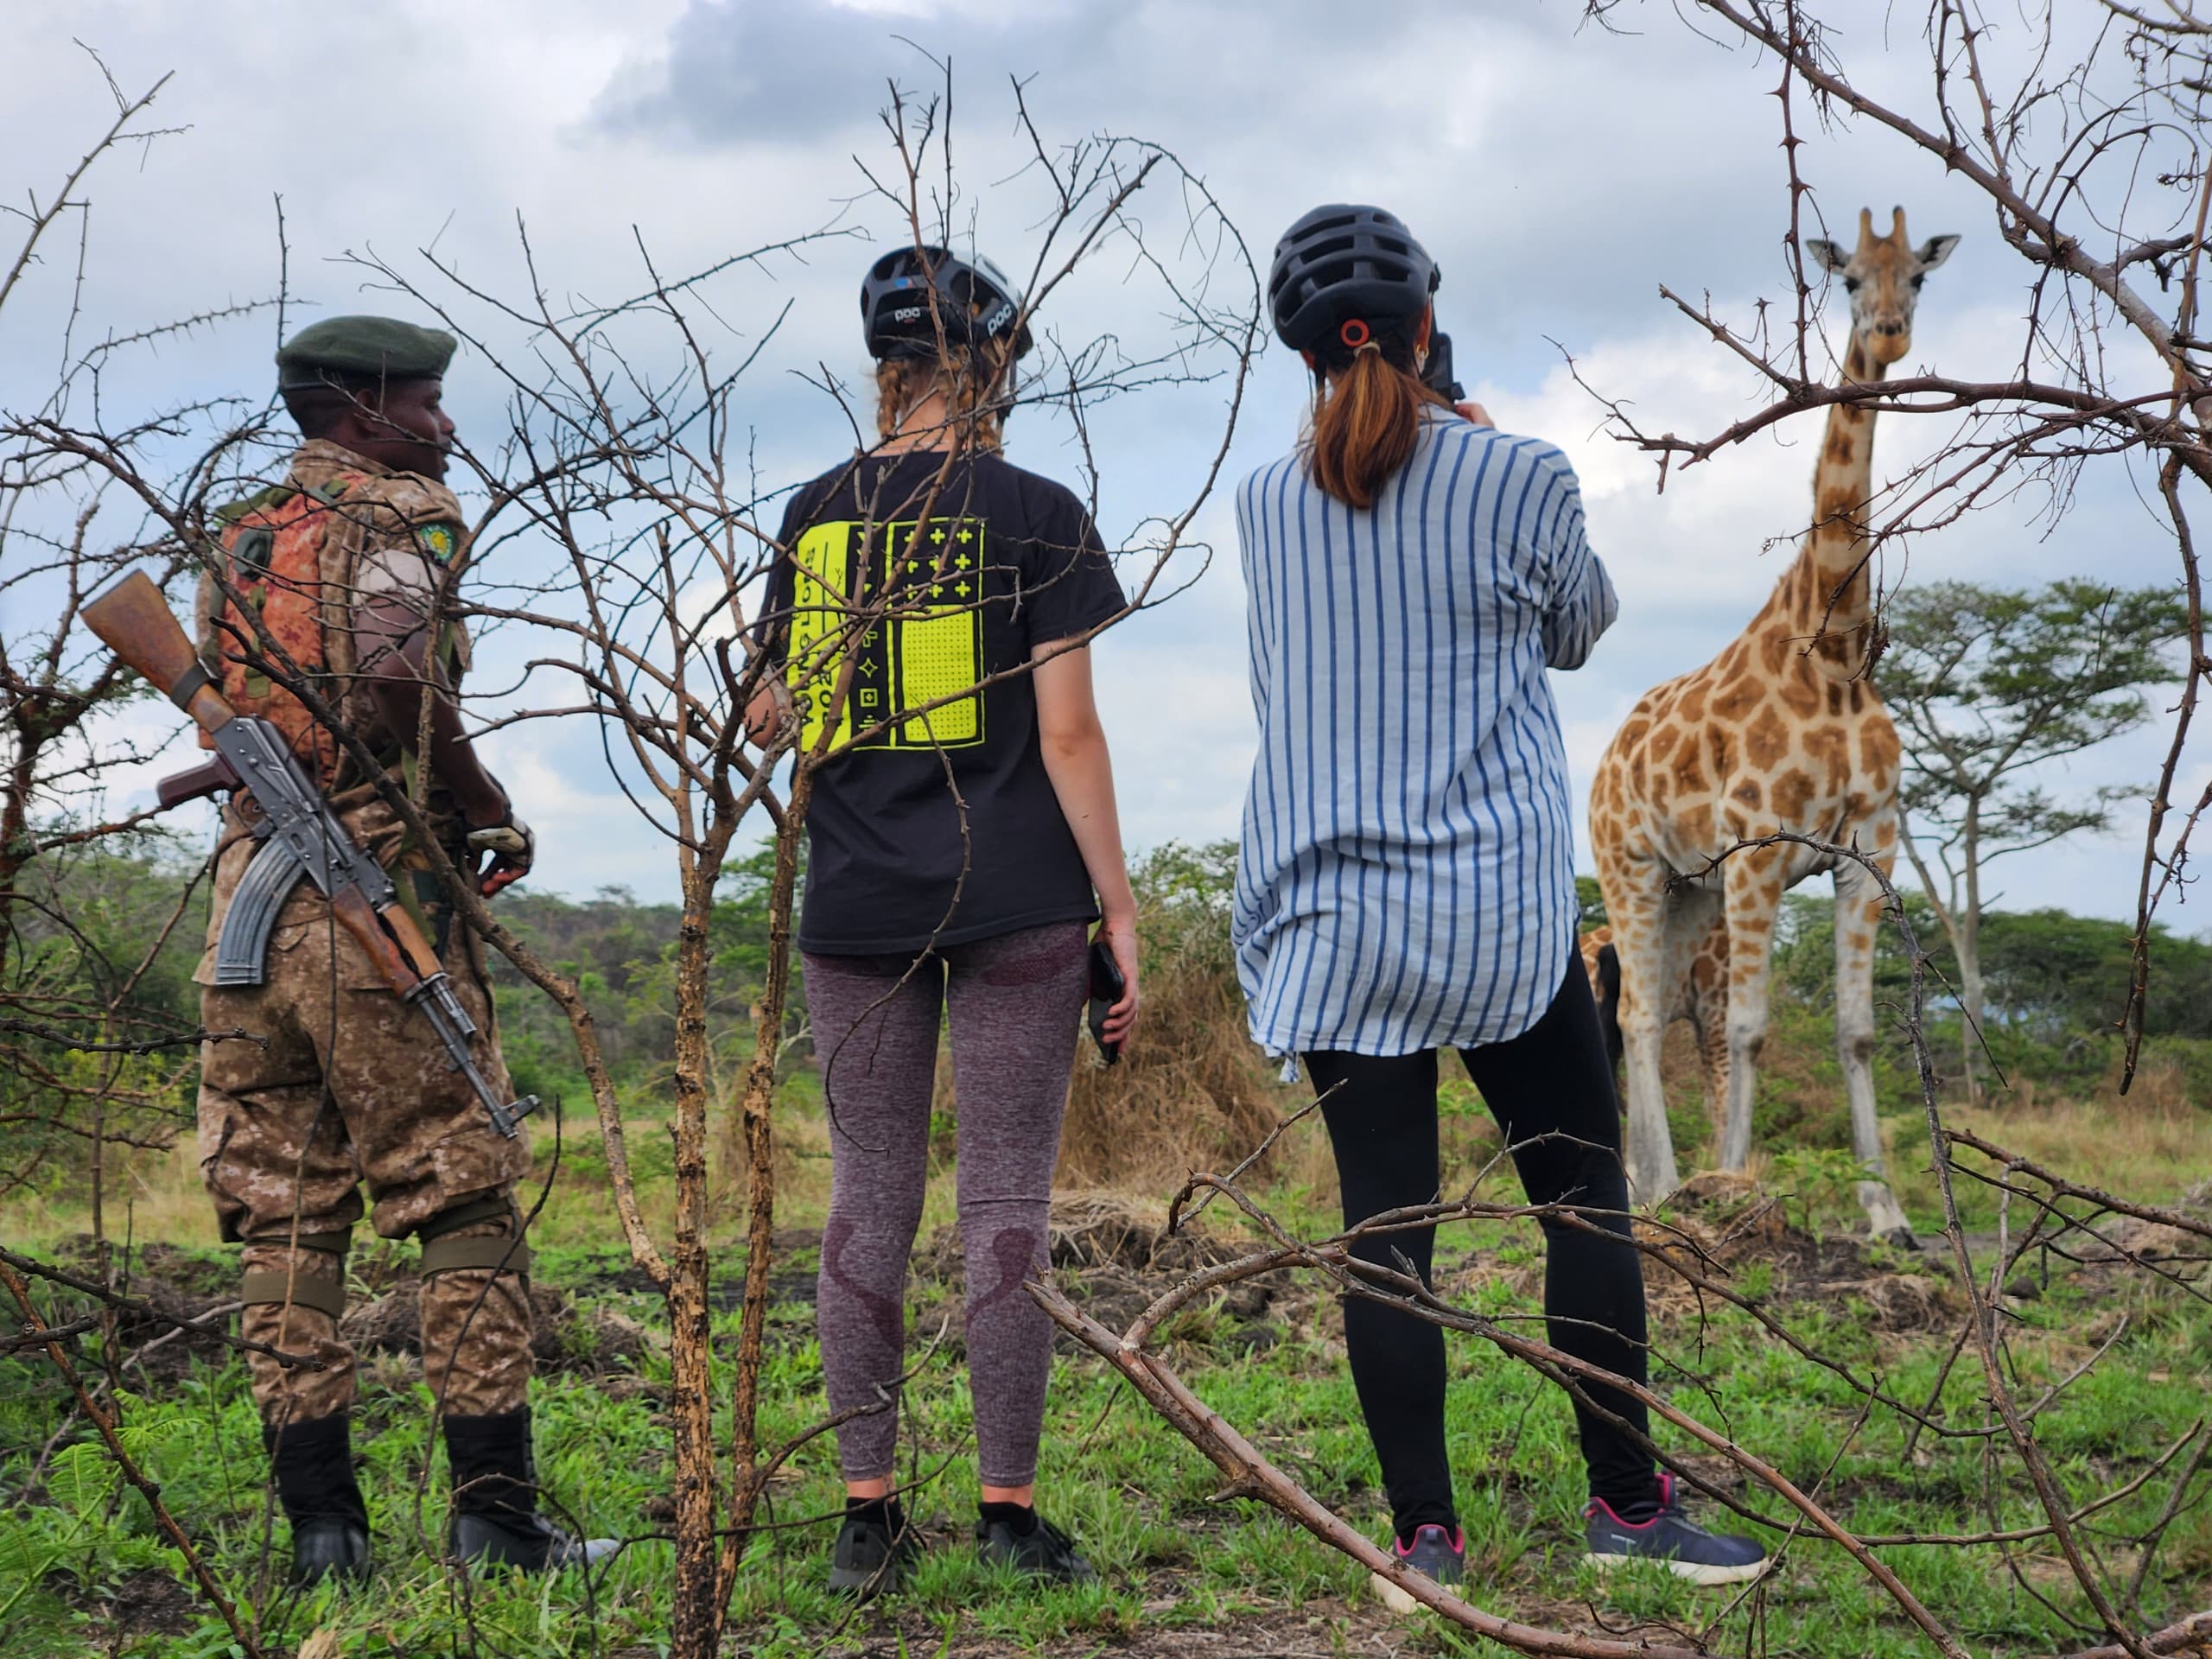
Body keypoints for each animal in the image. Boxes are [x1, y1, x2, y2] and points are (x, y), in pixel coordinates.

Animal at [1592, 207, 1955, 1247]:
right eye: (1847, 279)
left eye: (1918, 276)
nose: (1888, 336)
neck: (1831, 654)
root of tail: (1605, 760)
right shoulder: (1758, 848)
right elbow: (1753, 1028)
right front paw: (1737, 1186)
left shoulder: (1868, 847)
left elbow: (1855, 1029)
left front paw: (1886, 1212)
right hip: (1630, 865)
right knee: (1636, 1016)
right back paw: (1665, 1188)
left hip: (1688, 888)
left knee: (1653, 1010)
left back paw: (1654, 1184)